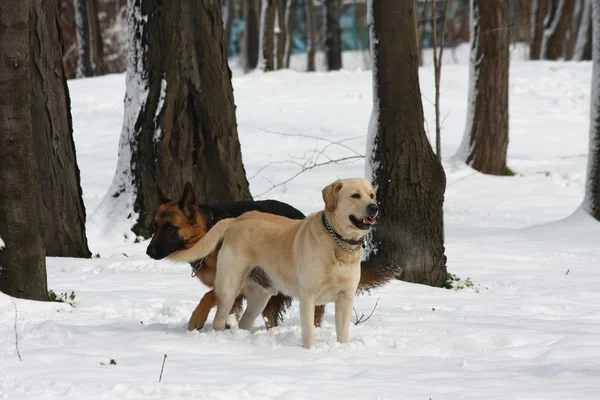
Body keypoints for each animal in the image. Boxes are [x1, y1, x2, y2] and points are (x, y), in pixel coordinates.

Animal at [144, 182, 398, 332]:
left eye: (170, 228)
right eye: (155, 226)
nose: (149, 252)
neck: (207, 227)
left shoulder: (234, 285)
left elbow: (208, 295)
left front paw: (196, 319)